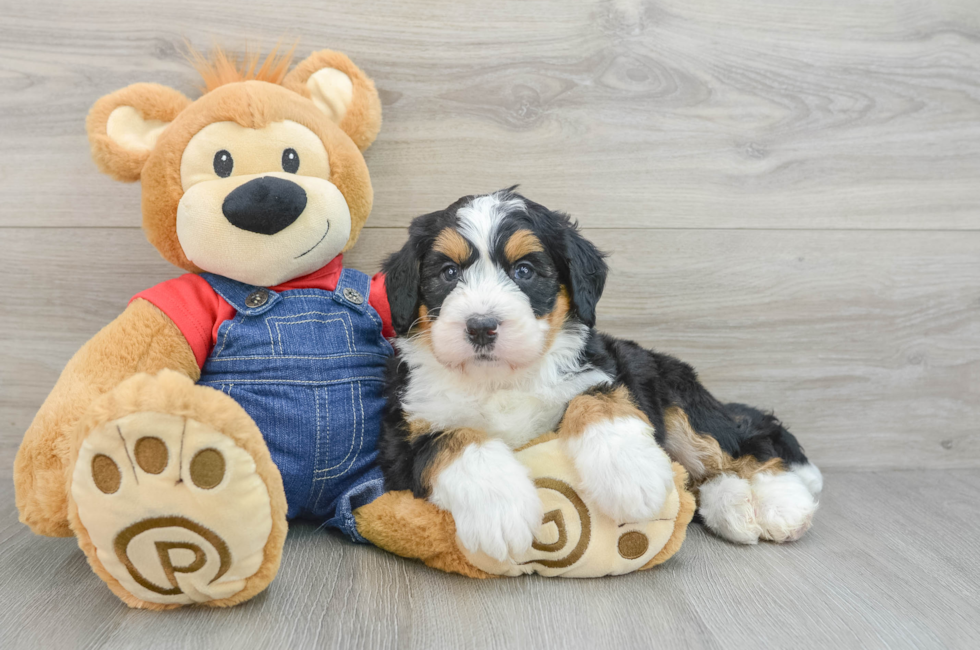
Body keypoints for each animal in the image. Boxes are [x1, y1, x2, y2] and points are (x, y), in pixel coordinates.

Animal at [378, 190, 824, 560]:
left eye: (524, 271)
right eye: (448, 274)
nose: (481, 326)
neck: (501, 379)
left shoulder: (604, 370)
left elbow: (595, 399)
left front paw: (631, 473)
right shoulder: (403, 434)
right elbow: (455, 437)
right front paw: (500, 510)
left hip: (676, 393)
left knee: (744, 444)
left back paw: (782, 503)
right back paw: (735, 507)